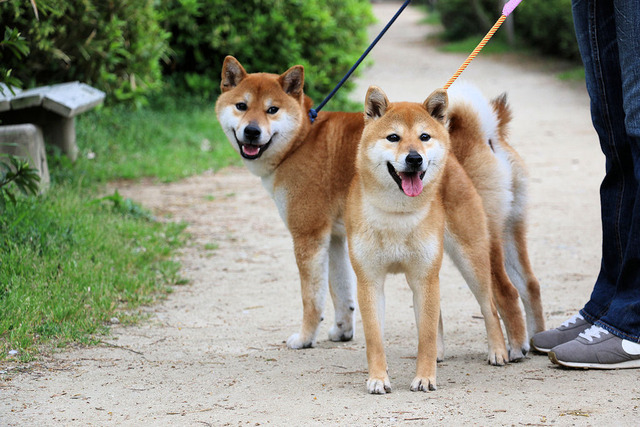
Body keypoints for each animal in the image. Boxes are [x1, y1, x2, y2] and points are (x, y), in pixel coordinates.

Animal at [214, 56, 540, 362]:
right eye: (242, 106)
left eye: (272, 110)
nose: (252, 131)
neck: (302, 138)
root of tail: (486, 135)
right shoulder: (336, 239)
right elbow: (341, 291)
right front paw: (343, 330)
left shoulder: (308, 235)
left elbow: (312, 298)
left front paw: (305, 338)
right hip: (504, 233)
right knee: (530, 285)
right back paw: (534, 342)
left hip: (473, 243)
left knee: (505, 292)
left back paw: (513, 348)